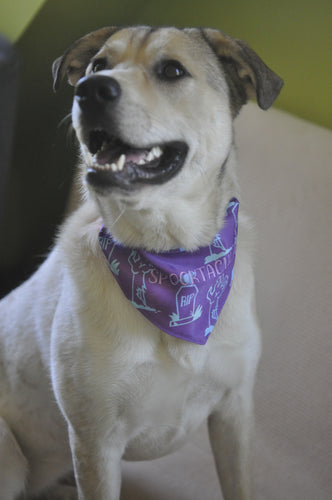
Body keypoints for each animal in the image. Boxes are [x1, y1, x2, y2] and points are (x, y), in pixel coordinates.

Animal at [0, 26, 282, 500]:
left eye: (172, 71)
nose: (90, 89)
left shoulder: (235, 411)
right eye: (98, 65)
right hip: (9, 458)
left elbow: (240, 484)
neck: (173, 260)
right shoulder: (96, 441)